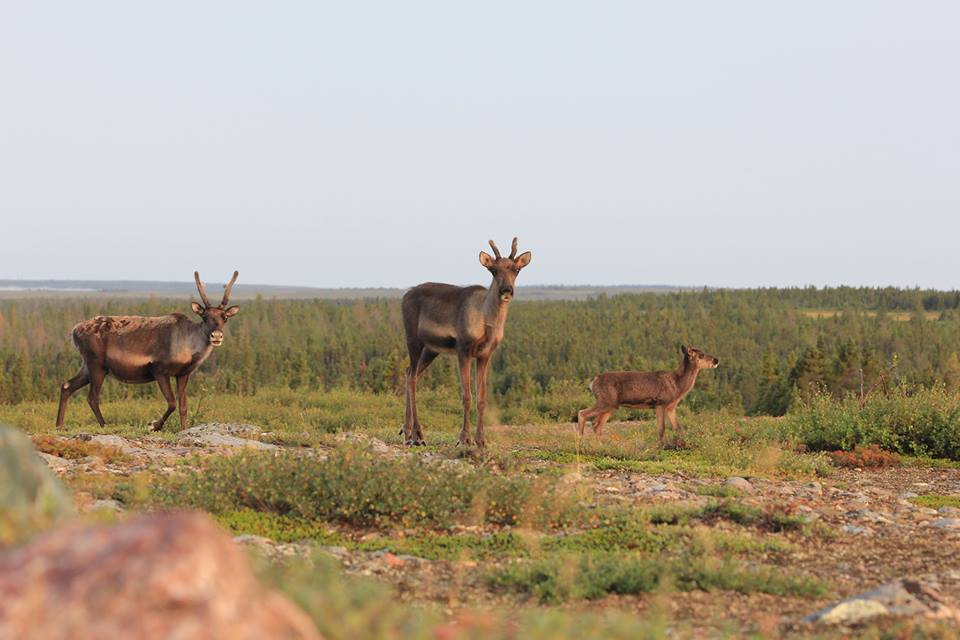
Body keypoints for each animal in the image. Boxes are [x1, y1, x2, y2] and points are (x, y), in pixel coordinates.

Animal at [56, 270, 240, 430]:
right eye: (204, 317)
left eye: (225, 317)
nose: (216, 336)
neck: (188, 349)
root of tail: (74, 331)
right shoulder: (159, 369)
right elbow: (172, 403)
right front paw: (153, 425)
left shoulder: (183, 373)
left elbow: (183, 406)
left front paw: (183, 429)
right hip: (96, 364)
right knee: (92, 397)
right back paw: (104, 425)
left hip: (88, 365)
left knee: (66, 386)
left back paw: (59, 426)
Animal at [576, 348, 720, 448]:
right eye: (701, 355)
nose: (716, 360)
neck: (678, 385)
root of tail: (593, 382)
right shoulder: (660, 403)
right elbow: (661, 428)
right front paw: (660, 447)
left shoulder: (671, 407)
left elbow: (678, 428)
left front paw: (682, 444)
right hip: (606, 401)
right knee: (583, 413)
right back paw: (580, 442)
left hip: (612, 405)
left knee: (596, 424)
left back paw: (602, 445)